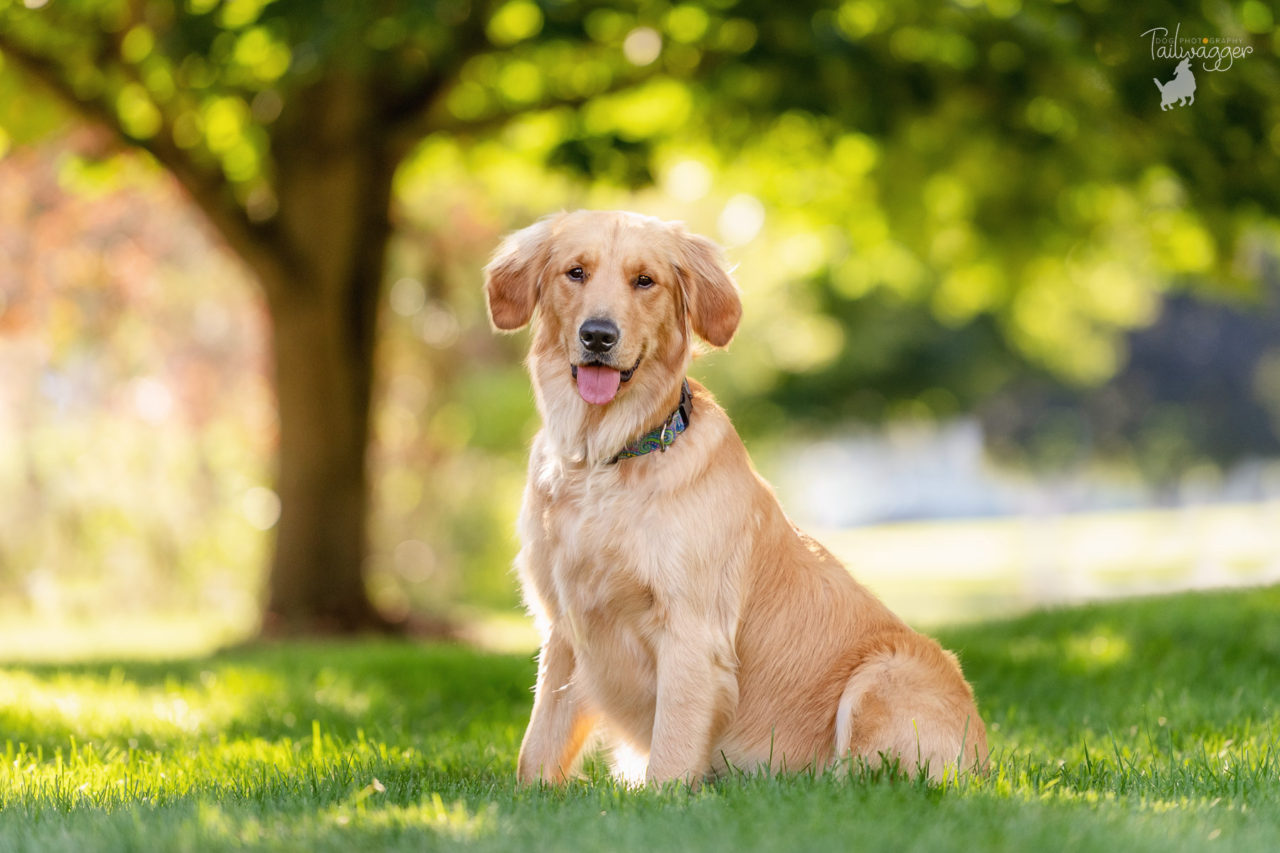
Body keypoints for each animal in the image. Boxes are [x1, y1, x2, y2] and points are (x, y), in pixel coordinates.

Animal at [481, 208, 988, 778]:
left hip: (886, 673)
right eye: (575, 273)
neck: (604, 460)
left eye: (644, 281)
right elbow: (537, 748)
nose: (598, 336)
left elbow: (671, 752)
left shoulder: (691, 630)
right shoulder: (565, 629)